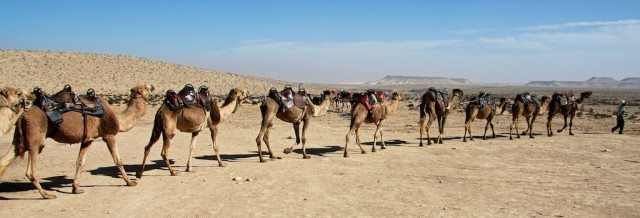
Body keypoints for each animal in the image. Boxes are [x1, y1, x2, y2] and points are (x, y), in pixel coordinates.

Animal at [0, 84, 154, 199]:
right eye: (144, 88)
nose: (152, 86)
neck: (118, 117)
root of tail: (23, 116)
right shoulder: (109, 135)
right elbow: (118, 160)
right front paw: (130, 182)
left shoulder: (88, 139)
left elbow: (80, 162)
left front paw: (76, 189)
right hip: (35, 138)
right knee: (30, 170)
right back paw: (47, 195)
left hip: (18, 140)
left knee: (5, 161)